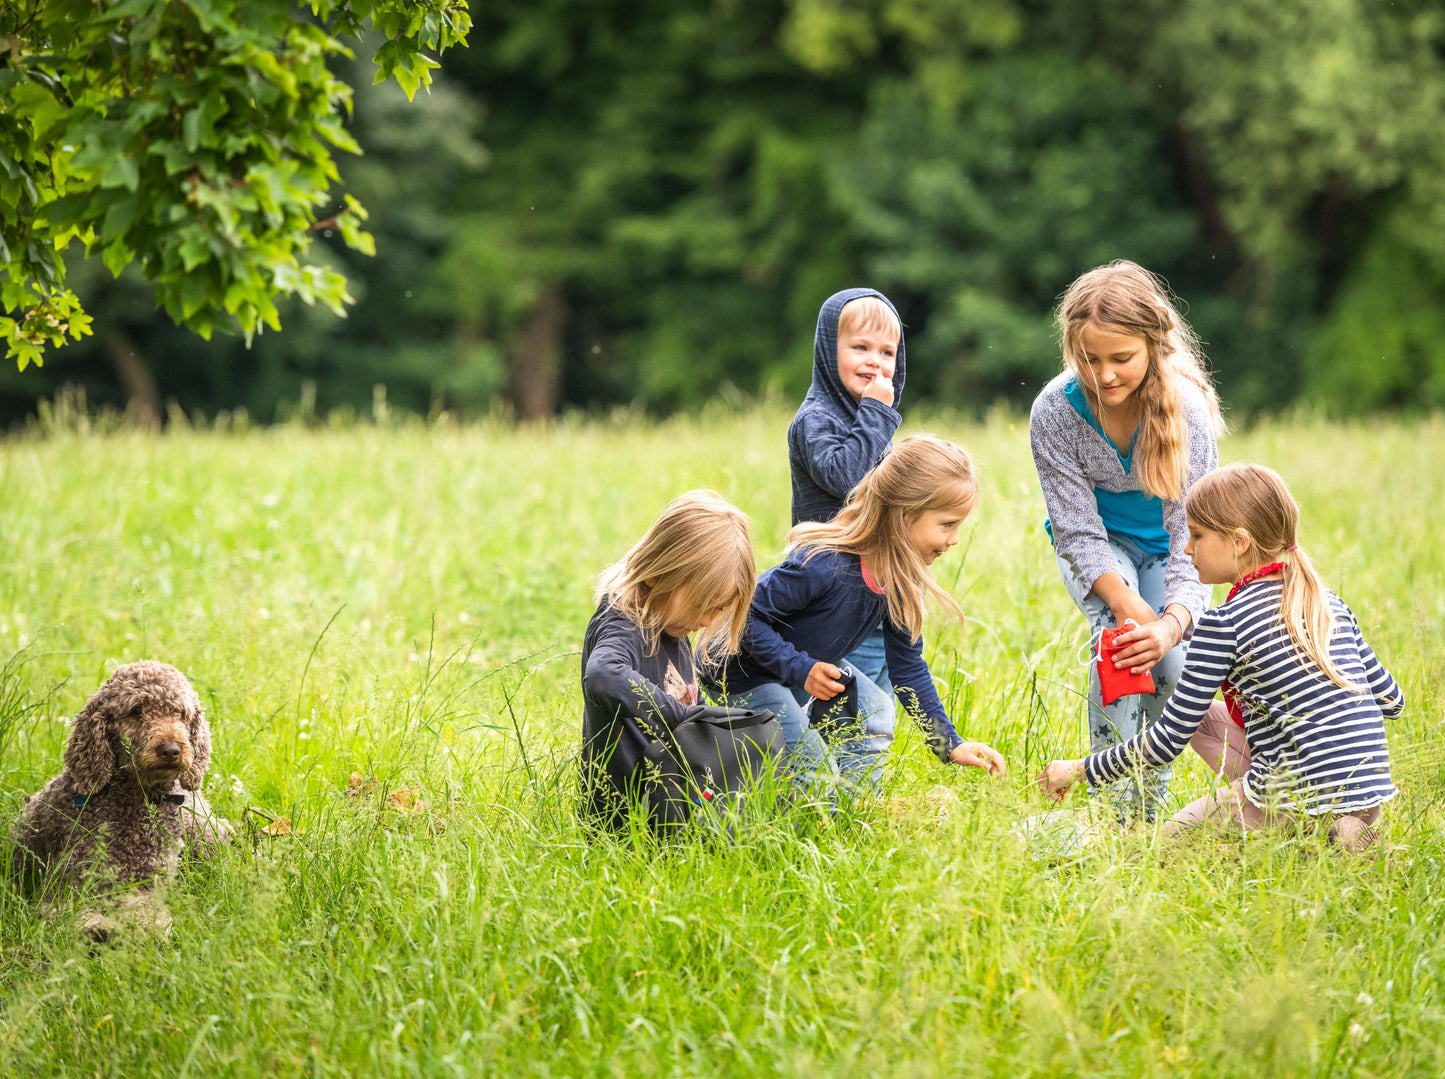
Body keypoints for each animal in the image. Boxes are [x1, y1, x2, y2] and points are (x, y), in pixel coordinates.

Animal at [7, 658, 231, 936]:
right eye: (135, 711)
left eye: (180, 713)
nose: (171, 750)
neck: (138, 800)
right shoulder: (68, 880)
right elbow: (68, 912)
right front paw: (95, 926)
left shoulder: (147, 882)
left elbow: (143, 911)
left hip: (204, 834)